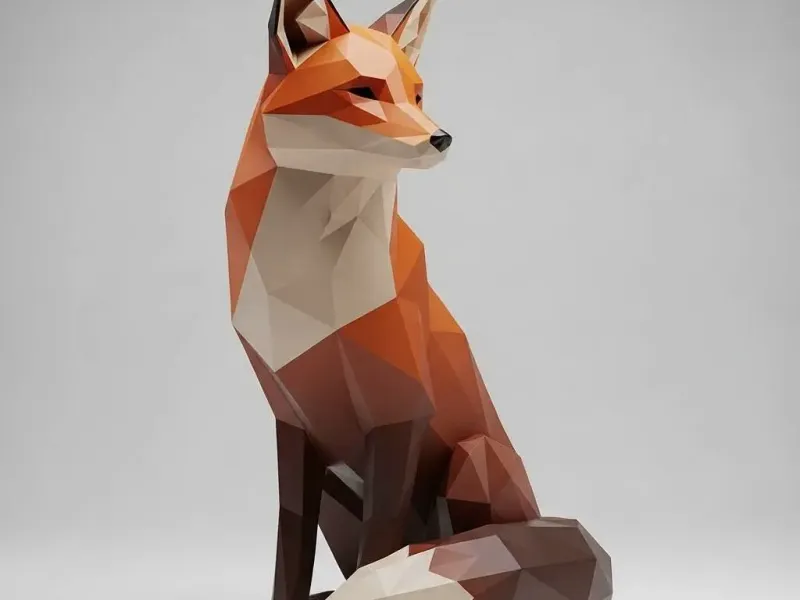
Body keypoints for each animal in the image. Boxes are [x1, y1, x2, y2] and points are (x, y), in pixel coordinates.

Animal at [225, 2, 611, 600]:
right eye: (362, 90)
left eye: (417, 95)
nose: (442, 138)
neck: (305, 290)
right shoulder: (293, 424)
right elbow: (290, 558)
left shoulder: (399, 413)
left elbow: (379, 547)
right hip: (339, 499)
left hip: (475, 457)